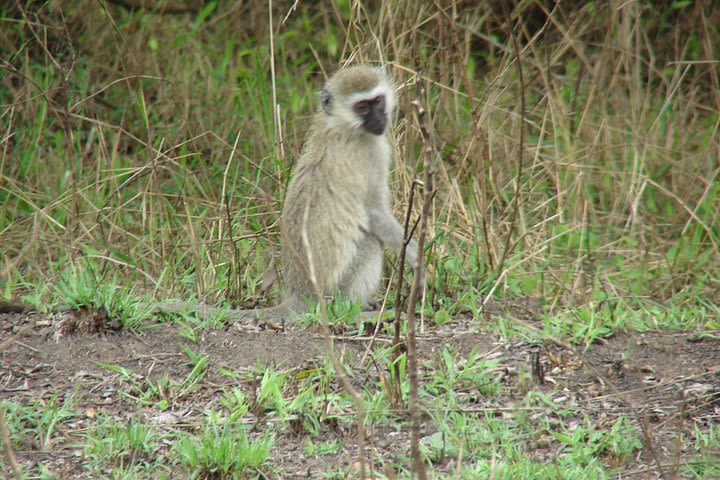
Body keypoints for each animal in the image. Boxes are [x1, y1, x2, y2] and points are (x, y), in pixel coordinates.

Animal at [278, 66, 422, 316]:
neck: (342, 127)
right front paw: (418, 263)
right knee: (371, 241)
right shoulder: (371, 153)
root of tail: (298, 297)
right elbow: (375, 212)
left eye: (378, 100)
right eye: (362, 107)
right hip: (334, 290)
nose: (379, 119)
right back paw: (356, 304)